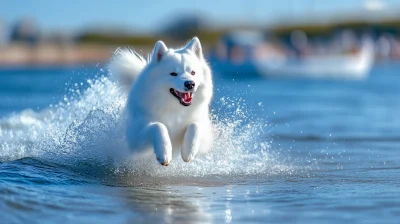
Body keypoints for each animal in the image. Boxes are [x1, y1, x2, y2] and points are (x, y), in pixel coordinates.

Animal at [106, 37, 212, 166]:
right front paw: (164, 153)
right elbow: (158, 126)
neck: (174, 108)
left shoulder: (205, 135)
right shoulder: (136, 139)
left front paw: (189, 151)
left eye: (193, 72)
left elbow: (195, 125)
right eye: (173, 74)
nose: (190, 84)